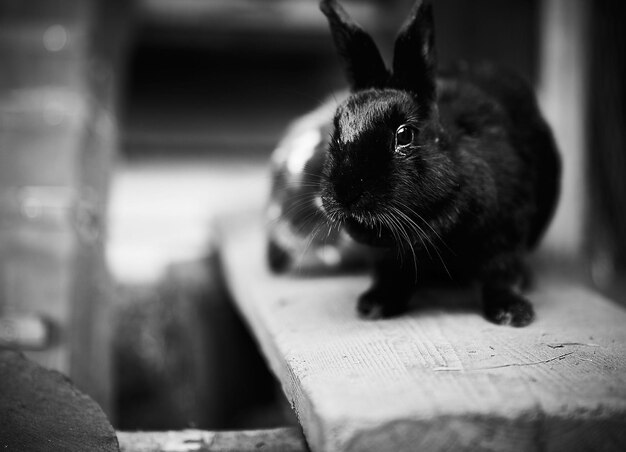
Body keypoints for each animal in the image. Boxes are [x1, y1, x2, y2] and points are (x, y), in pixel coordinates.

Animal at [266, 0, 560, 326]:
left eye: (404, 134)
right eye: (336, 126)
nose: (344, 193)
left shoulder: (506, 232)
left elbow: (500, 274)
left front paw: (513, 313)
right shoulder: (387, 256)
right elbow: (392, 275)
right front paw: (374, 306)